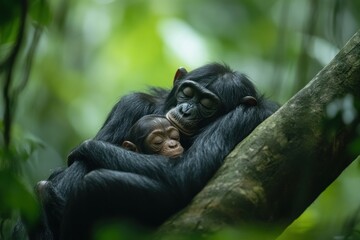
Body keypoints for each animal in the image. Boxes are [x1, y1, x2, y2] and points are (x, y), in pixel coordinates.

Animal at [26, 62, 278, 239]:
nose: (186, 110)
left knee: (97, 182)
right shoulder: (130, 104)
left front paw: (85, 147)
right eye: (188, 92)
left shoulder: (249, 115)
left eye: (207, 104)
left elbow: (186, 171)